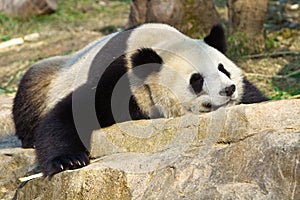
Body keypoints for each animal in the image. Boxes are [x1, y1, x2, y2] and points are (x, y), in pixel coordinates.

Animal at [12, 23, 268, 176]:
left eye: (223, 69)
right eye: (196, 79)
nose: (229, 89)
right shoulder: (118, 80)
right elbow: (68, 114)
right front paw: (68, 160)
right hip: (51, 75)